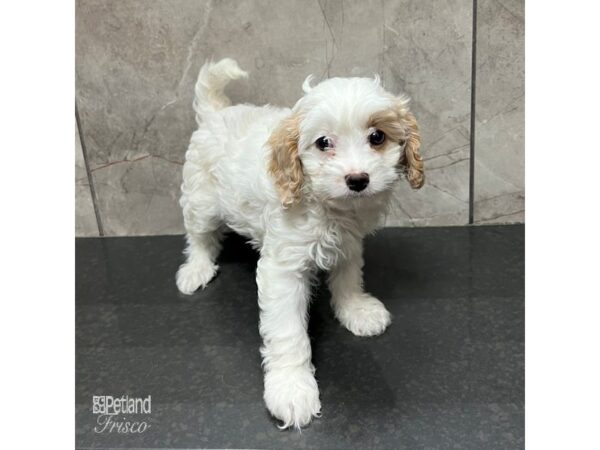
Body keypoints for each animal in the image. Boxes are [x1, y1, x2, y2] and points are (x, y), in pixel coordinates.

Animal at [176, 58, 424, 428]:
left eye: (377, 136)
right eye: (323, 143)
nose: (358, 179)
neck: (326, 206)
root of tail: (216, 112)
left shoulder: (349, 242)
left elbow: (348, 276)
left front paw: (355, 309)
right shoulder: (282, 269)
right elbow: (288, 332)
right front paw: (291, 387)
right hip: (201, 199)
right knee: (199, 235)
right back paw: (196, 268)